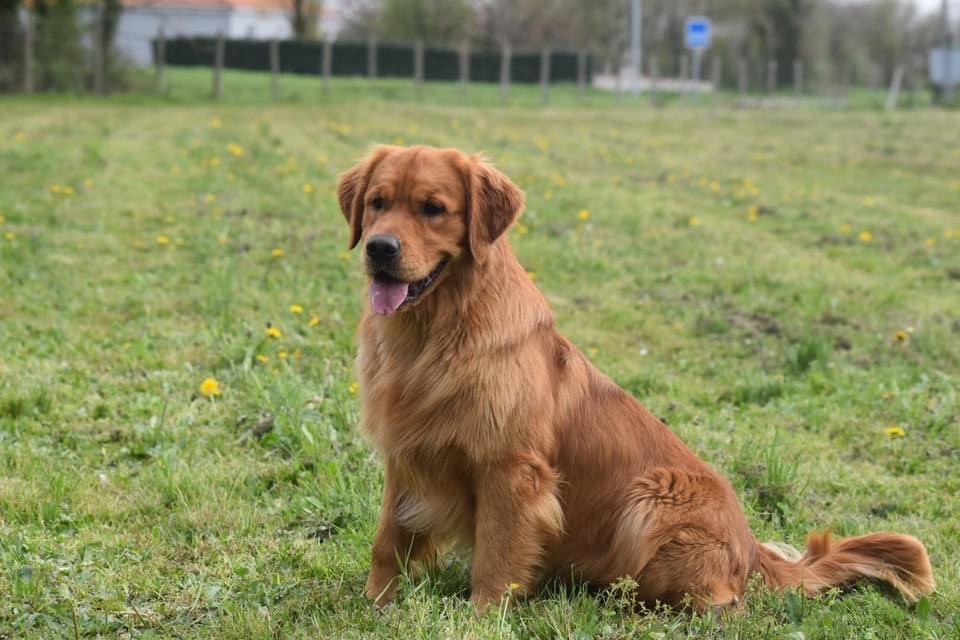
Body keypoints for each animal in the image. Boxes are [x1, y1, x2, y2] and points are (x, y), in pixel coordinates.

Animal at [336, 144, 928, 608]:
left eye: (433, 209)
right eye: (378, 203)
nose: (380, 248)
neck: (432, 334)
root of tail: (751, 547)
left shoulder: (511, 469)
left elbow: (496, 557)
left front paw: (482, 617)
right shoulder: (405, 456)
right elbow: (386, 540)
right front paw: (375, 601)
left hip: (650, 501)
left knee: (718, 601)